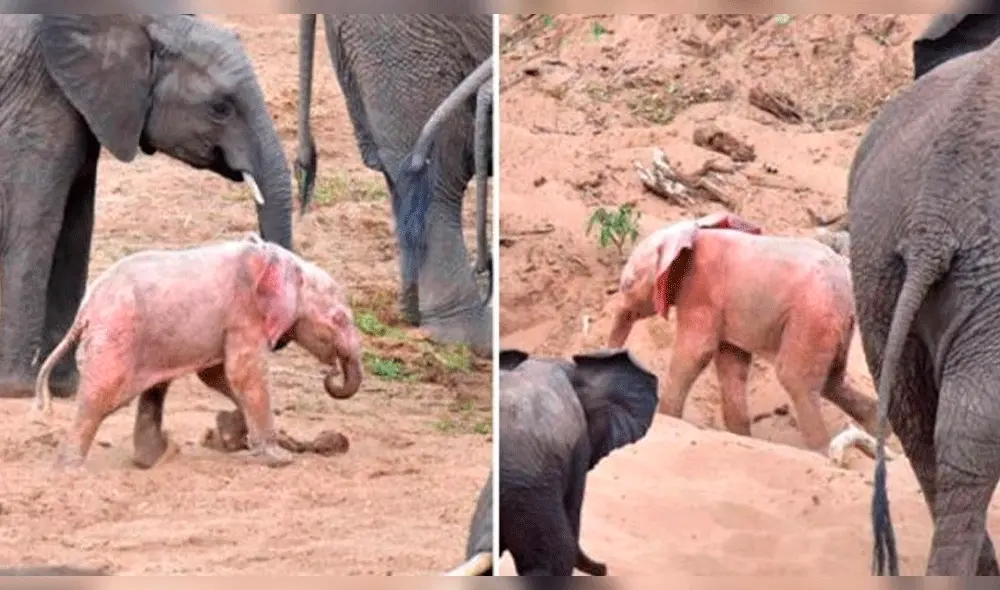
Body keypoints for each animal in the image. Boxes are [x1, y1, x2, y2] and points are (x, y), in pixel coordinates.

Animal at [0, 15, 294, 401]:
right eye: (220, 108)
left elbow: (77, 224)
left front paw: (66, 388)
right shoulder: (39, 102)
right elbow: (36, 221)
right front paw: (18, 389)